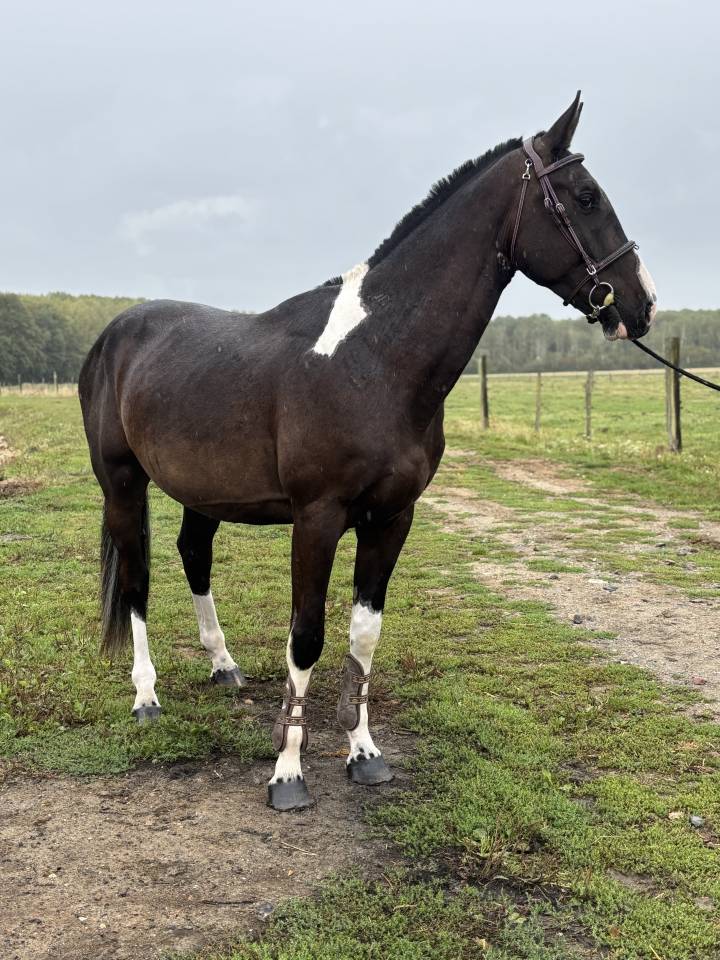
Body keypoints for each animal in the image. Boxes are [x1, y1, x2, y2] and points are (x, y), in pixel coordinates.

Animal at [79, 92, 657, 811]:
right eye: (584, 197)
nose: (641, 303)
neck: (375, 358)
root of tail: (113, 334)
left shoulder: (392, 518)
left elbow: (363, 635)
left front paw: (363, 754)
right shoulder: (317, 517)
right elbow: (306, 637)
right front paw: (288, 775)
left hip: (202, 492)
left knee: (194, 556)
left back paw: (224, 667)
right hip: (122, 485)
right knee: (136, 581)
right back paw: (146, 697)